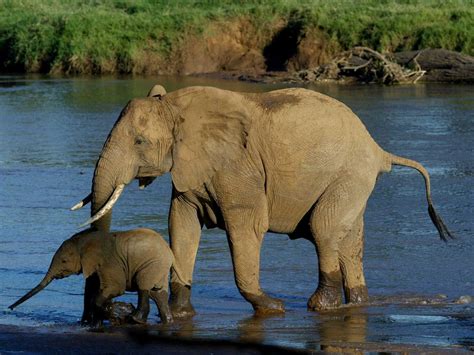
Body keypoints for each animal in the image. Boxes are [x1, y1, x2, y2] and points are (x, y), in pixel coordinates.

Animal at [8, 229, 187, 326]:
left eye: (64, 261)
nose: (10, 309)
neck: (85, 241)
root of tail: (170, 253)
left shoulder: (109, 262)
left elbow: (115, 288)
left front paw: (112, 317)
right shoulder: (94, 266)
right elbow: (94, 289)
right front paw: (95, 324)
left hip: (152, 264)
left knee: (144, 286)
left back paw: (135, 320)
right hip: (159, 267)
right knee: (158, 294)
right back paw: (167, 322)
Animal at [73, 85, 452, 318]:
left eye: (139, 141)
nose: (98, 315)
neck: (176, 106)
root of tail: (379, 150)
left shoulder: (238, 167)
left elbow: (247, 226)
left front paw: (273, 307)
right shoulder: (190, 170)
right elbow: (181, 225)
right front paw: (182, 314)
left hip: (349, 176)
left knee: (324, 229)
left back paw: (320, 307)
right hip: (352, 182)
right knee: (349, 240)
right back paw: (357, 302)